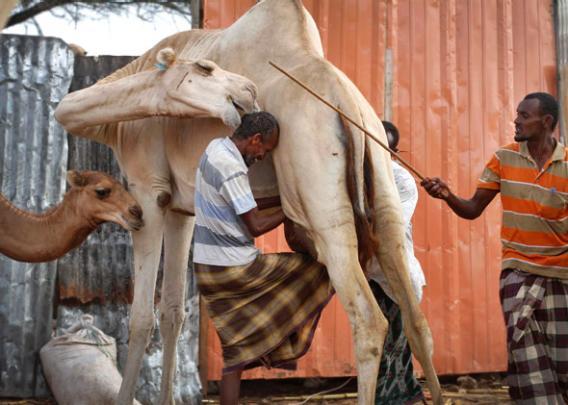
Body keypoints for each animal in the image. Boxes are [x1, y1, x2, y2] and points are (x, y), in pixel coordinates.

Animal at [54, 1, 444, 402]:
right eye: (205, 68)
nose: (247, 89)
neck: (118, 124)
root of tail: (346, 103)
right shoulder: (180, 207)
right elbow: (173, 312)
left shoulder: (148, 192)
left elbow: (141, 318)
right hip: (382, 184)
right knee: (416, 320)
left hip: (322, 198)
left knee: (367, 320)